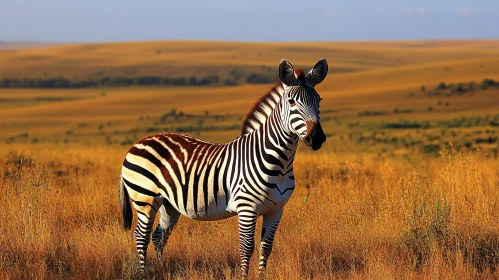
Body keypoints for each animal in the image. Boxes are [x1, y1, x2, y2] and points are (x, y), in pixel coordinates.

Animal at [117, 58, 328, 276]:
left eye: (319, 100)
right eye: (292, 102)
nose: (317, 138)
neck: (280, 163)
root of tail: (139, 142)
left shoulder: (276, 209)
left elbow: (266, 247)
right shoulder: (247, 208)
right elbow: (246, 247)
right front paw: (244, 277)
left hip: (169, 203)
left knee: (159, 236)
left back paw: (160, 269)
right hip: (145, 198)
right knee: (141, 236)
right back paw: (143, 273)